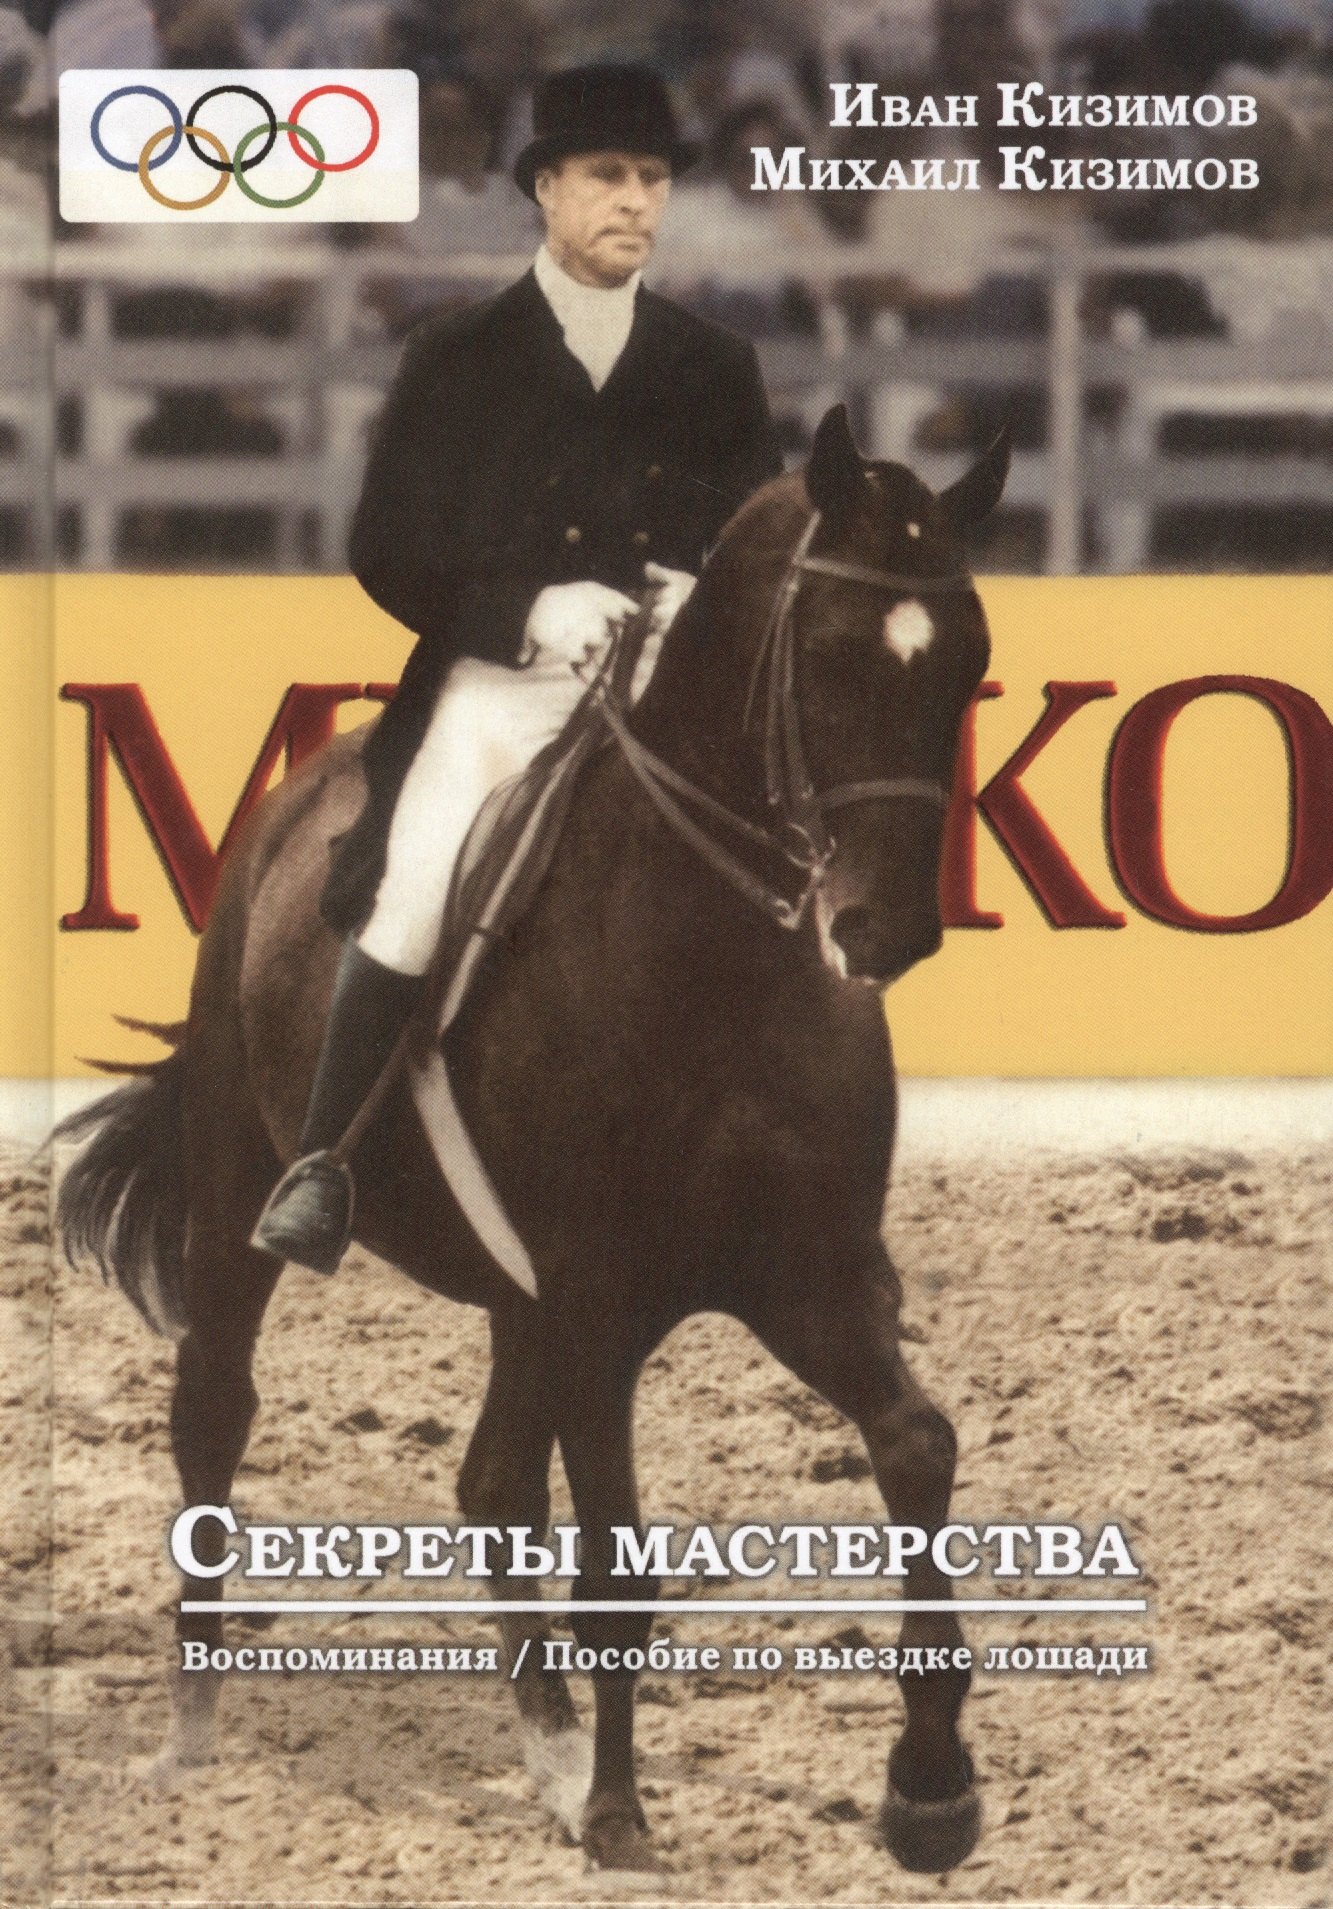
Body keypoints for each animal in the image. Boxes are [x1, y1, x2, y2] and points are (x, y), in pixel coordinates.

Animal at [56, 403, 1008, 1876]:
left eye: (966, 661)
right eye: (834, 656)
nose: (885, 928)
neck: (709, 964)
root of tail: (299, 799)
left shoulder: (810, 1278)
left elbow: (915, 1446)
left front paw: (929, 1787)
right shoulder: (596, 1299)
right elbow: (616, 1556)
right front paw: (620, 1815)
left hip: (519, 1301)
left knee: (494, 1482)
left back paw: (550, 1751)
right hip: (245, 1192)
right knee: (216, 1413)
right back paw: (199, 1731)